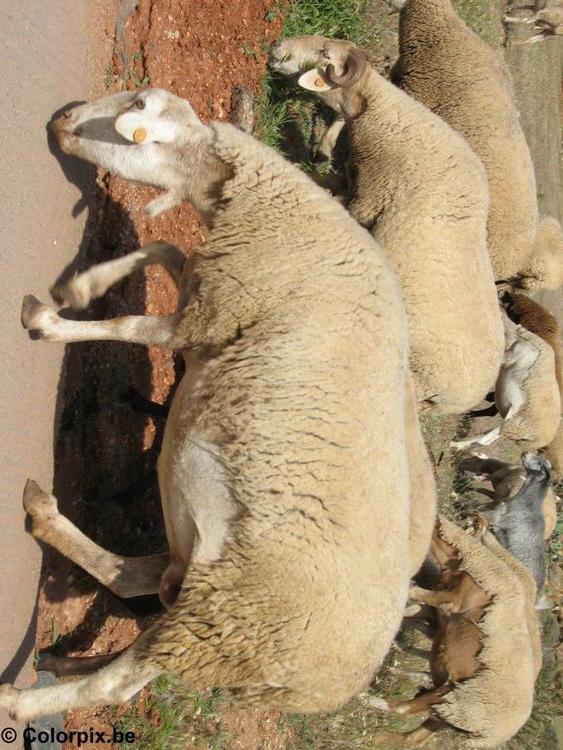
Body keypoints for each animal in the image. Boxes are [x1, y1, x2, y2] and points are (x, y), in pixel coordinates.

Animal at [1, 87, 417, 722]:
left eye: (134, 110)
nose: (63, 119)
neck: (275, 209)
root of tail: (322, 693)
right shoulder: (209, 292)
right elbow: (164, 244)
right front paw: (83, 286)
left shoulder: (208, 317)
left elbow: (128, 325)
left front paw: (50, 322)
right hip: (206, 582)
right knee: (129, 576)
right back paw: (46, 526)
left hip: (223, 623)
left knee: (115, 683)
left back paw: (18, 700)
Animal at [375, 516, 538, 748]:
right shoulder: (436, 611)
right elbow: (410, 613)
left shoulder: (448, 601)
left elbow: (414, 594)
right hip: (445, 714)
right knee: (412, 738)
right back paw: (379, 736)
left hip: (451, 696)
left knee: (403, 710)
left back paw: (371, 700)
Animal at [452, 312, 561, 450]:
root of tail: (542, 441)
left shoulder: (508, 357)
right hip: (511, 426)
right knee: (487, 440)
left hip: (513, 424)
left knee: (484, 440)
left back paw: (455, 444)